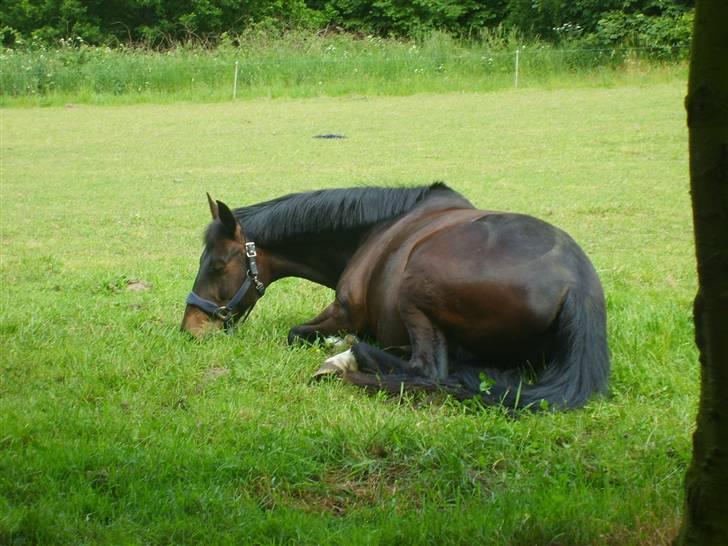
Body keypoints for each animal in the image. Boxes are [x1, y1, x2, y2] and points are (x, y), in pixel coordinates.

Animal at [182, 183, 608, 408]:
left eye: (217, 265)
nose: (190, 329)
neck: (375, 231)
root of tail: (578, 286)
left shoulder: (343, 310)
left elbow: (295, 333)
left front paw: (340, 347)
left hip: (415, 289)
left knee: (428, 371)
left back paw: (347, 361)